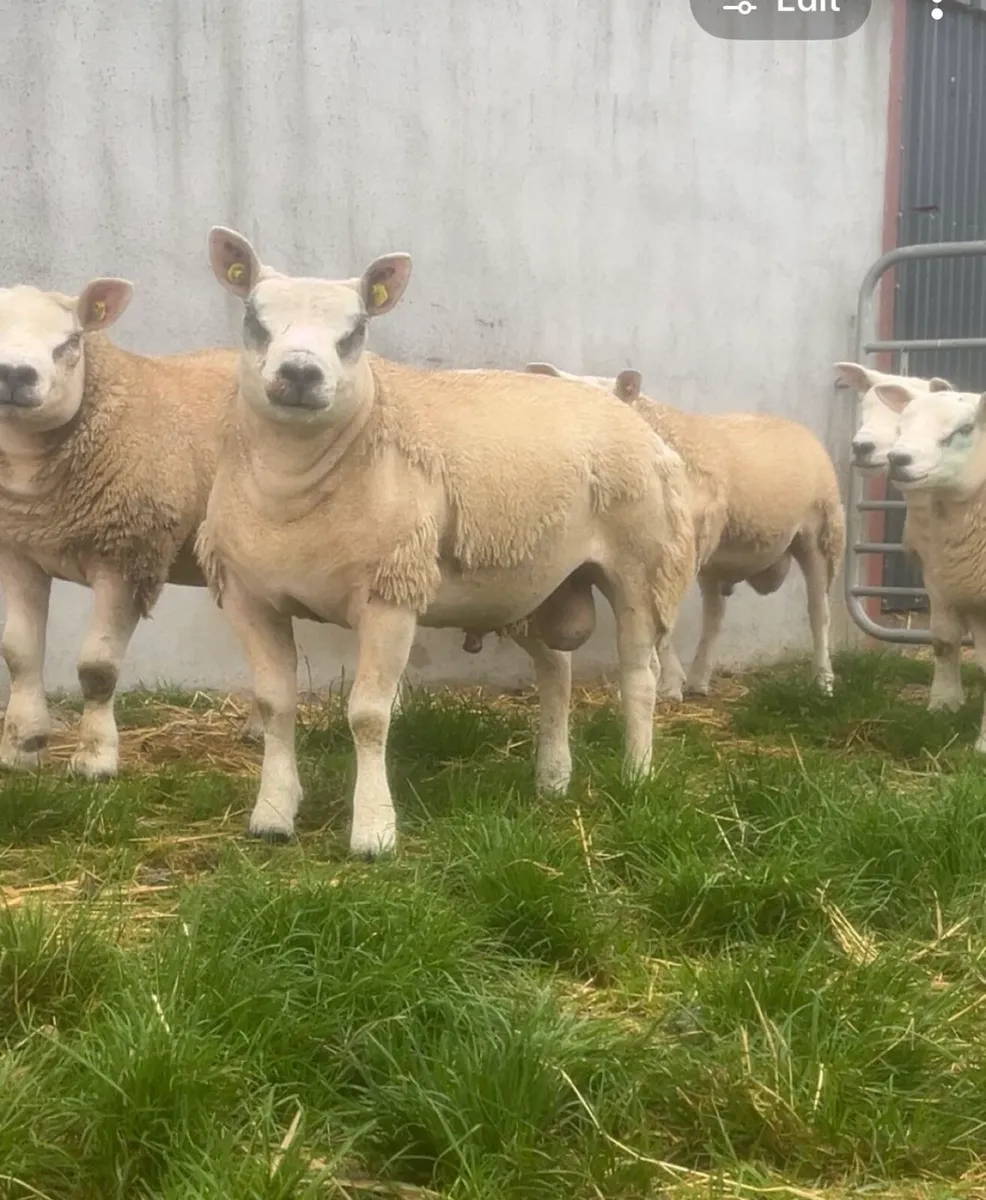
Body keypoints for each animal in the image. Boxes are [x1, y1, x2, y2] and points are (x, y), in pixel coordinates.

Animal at [0, 279, 262, 779]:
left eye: (71, 341)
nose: (15, 375)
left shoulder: (128, 552)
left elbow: (97, 667)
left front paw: (95, 759)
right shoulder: (18, 551)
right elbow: (19, 652)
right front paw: (22, 748)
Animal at [196, 225, 697, 857]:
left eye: (356, 330)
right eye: (254, 318)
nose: (302, 374)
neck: (296, 486)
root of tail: (621, 408)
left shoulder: (391, 593)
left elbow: (368, 716)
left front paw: (374, 832)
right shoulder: (249, 596)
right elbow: (275, 704)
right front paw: (272, 814)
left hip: (639, 564)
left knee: (639, 674)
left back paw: (637, 775)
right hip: (535, 583)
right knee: (556, 673)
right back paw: (553, 779)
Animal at [520, 362, 846, 699]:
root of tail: (796, 426)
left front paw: (669, 684)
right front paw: (670, 681)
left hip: (821, 531)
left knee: (818, 611)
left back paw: (823, 679)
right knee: (714, 616)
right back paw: (699, 679)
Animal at [868, 379, 985, 743]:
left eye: (965, 429)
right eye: (901, 424)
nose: (898, 458)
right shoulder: (943, 582)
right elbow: (944, 641)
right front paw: (943, 705)